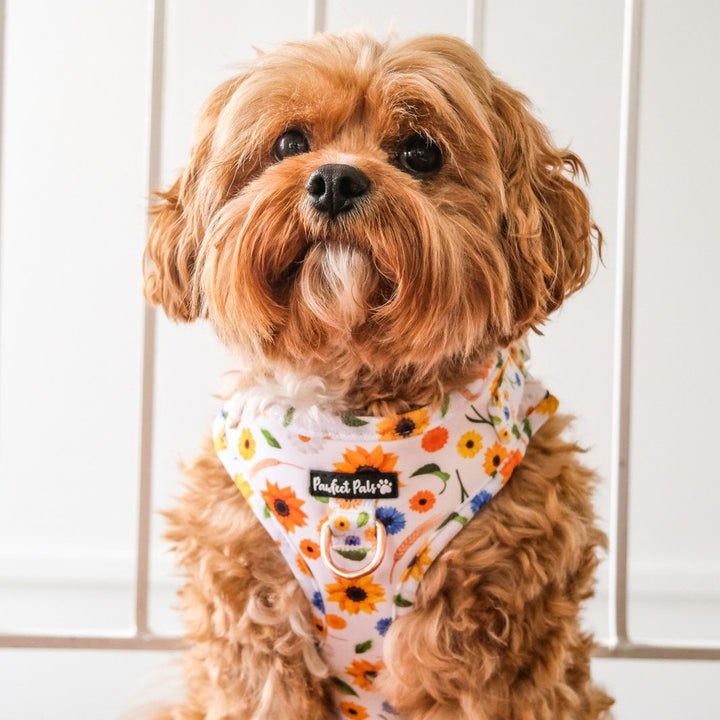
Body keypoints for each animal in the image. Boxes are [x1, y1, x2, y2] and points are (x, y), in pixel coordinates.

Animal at [142, 31, 612, 716]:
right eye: (289, 143)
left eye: (420, 152)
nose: (335, 180)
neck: (358, 413)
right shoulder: (252, 633)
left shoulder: (495, 644)